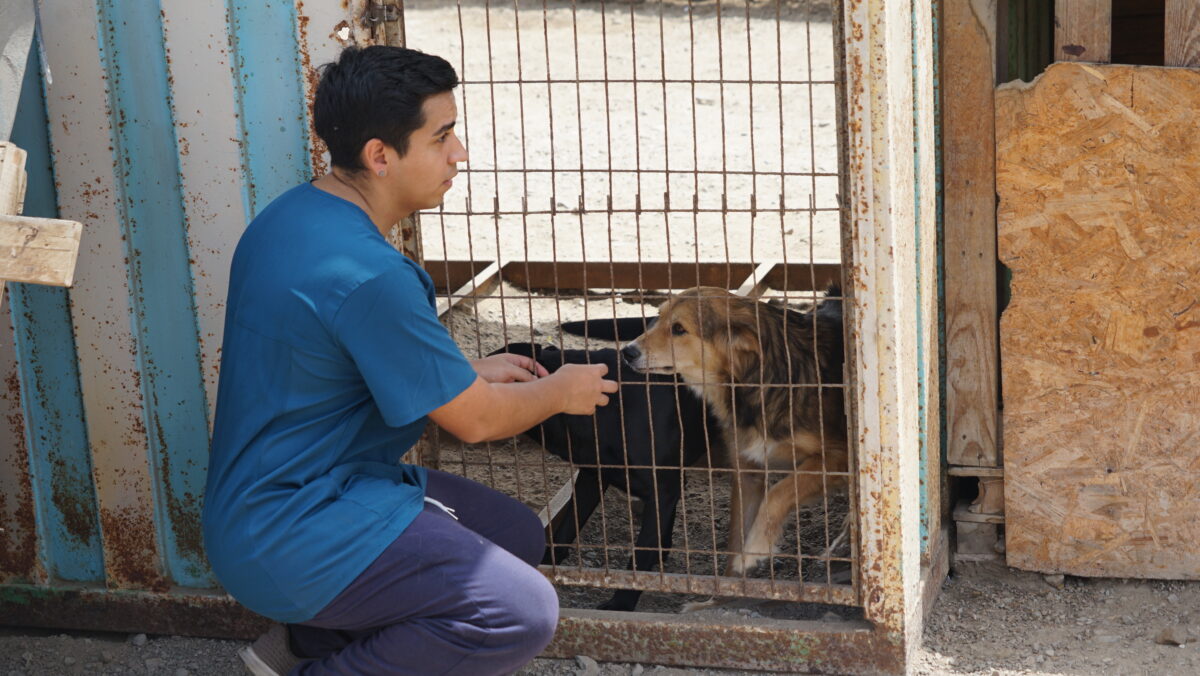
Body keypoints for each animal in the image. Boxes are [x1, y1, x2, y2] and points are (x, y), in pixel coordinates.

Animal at [619, 285, 844, 576]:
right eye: (659, 316)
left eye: (679, 329)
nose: (627, 351)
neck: (754, 386)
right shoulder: (747, 472)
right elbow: (735, 538)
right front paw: (731, 579)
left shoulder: (837, 458)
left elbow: (779, 492)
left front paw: (756, 548)